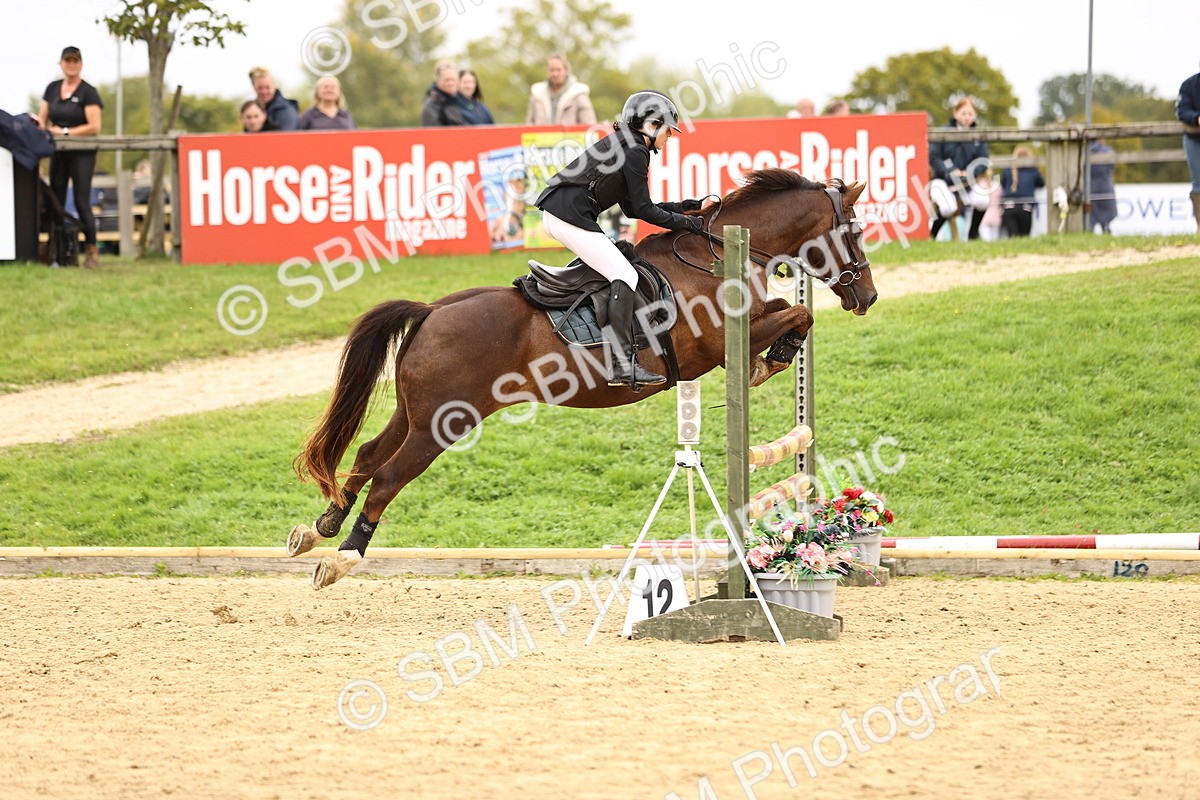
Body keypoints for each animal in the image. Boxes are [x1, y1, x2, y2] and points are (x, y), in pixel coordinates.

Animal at [288, 169, 877, 589]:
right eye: (855, 231)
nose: (867, 297)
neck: (716, 256)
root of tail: (433, 310)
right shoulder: (721, 343)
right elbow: (800, 313)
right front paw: (770, 359)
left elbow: (793, 312)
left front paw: (772, 359)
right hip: (442, 423)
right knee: (388, 476)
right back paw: (341, 560)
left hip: (415, 413)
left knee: (367, 456)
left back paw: (316, 531)